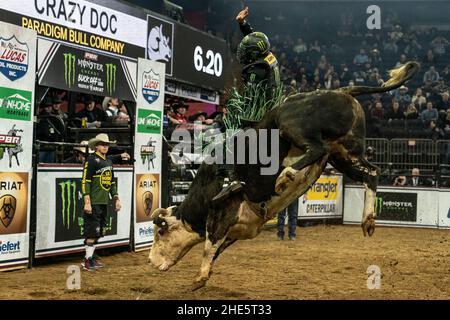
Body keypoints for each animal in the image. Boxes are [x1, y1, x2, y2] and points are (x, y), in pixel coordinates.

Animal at [149, 60, 420, 290]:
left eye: (160, 232)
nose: (150, 262)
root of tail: (342, 90)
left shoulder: (222, 211)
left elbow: (209, 246)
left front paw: (199, 277)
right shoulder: (240, 228)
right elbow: (216, 250)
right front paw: (204, 275)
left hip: (292, 124)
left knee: (316, 148)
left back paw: (286, 176)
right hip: (344, 152)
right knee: (371, 172)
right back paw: (368, 220)